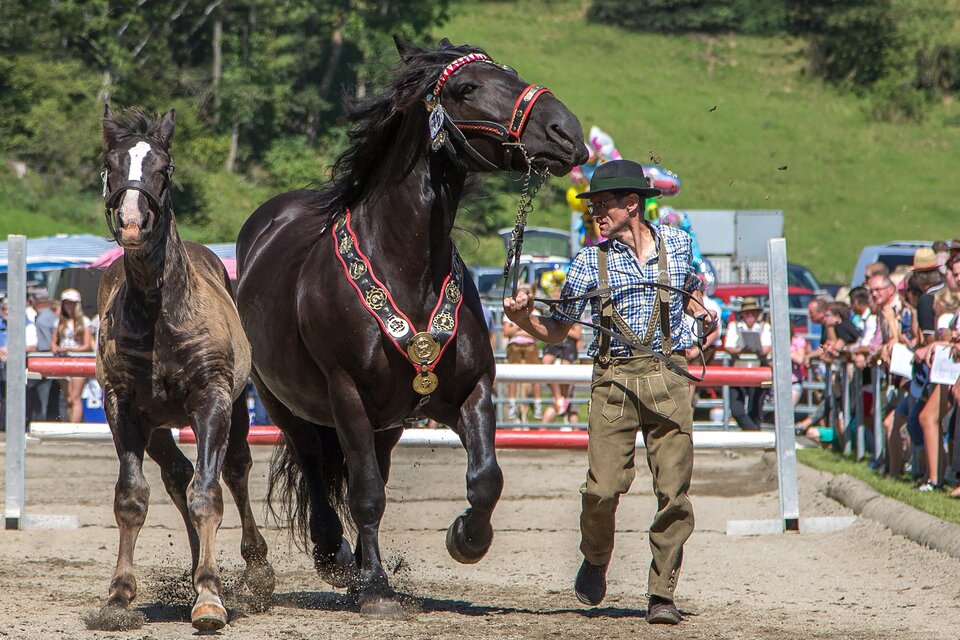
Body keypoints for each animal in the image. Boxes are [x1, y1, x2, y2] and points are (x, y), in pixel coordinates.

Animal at [95, 105, 275, 631]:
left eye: (165, 167)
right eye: (111, 164)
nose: (133, 222)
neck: (159, 311)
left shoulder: (211, 401)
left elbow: (209, 494)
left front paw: (211, 598)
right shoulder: (122, 408)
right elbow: (132, 498)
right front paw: (119, 596)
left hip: (236, 411)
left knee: (232, 471)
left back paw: (253, 570)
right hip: (157, 427)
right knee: (178, 476)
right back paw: (196, 565)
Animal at [235, 37, 586, 615]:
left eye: (512, 73)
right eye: (466, 88)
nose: (568, 133)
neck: (406, 270)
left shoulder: (472, 389)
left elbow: (486, 478)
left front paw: (466, 538)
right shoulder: (347, 395)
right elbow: (365, 494)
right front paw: (376, 588)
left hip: (389, 421)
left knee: (368, 469)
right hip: (284, 402)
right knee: (316, 468)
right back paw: (337, 558)